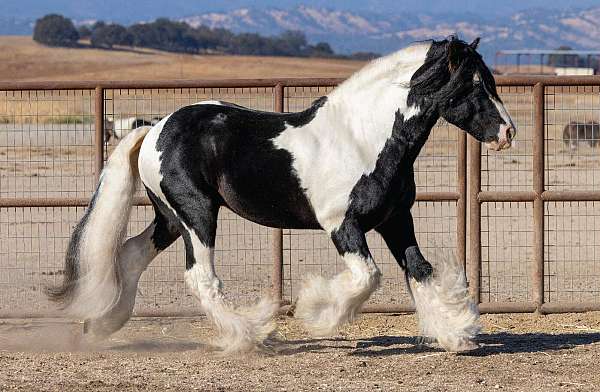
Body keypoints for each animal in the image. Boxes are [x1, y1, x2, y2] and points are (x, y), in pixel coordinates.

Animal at [48, 36, 516, 354]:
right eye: (471, 86)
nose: (507, 133)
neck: (363, 138)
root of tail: (155, 128)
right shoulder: (342, 226)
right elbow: (368, 277)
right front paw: (316, 316)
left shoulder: (395, 220)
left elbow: (419, 270)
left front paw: (455, 334)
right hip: (196, 214)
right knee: (201, 277)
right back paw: (250, 335)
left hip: (169, 217)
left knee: (130, 253)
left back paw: (101, 326)